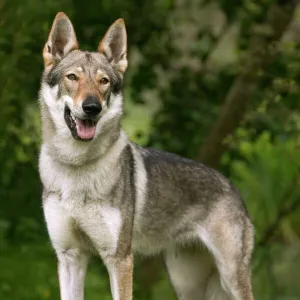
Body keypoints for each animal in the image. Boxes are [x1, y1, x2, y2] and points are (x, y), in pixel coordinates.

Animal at [38, 12, 254, 300]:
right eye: (72, 77)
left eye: (104, 81)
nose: (92, 107)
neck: (77, 167)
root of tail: (234, 189)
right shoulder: (70, 257)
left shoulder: (120, 259)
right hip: (186, 284)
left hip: (231, 278)